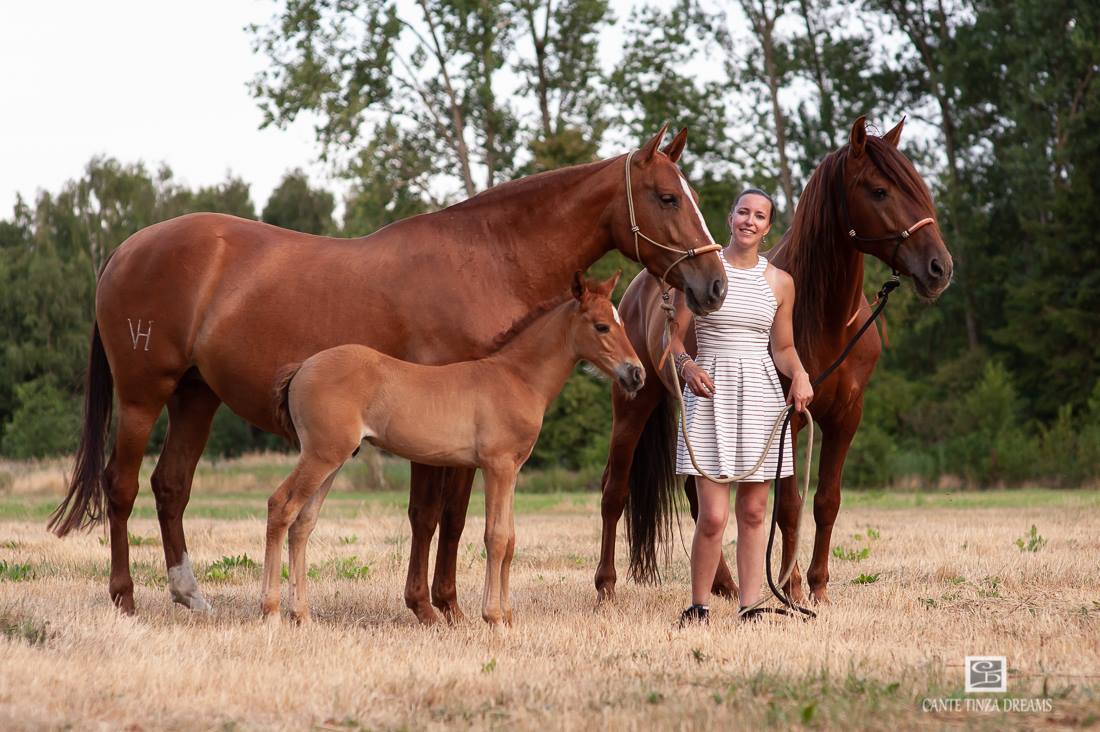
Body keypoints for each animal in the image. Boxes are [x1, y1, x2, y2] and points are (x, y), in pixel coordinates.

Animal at [264, 272, 640, 626]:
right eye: (602, 326)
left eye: (621, 322)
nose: (636, 374)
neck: (515, 378)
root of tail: (302, 367)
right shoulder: (497, 467)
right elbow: (496, 537)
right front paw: (494, 617)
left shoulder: (513, 470)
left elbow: (510, 540)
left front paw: (507, 616)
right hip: (321, 455)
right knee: (281, 506)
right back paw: (271, 612)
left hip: (333, 459)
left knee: (303, 522)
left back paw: (302, 615)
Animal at [593, 116, 954, 605]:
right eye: (879, 190)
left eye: (918, 186)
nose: (940, 268)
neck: (827, 319)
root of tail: (641, 286)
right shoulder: (790, 419)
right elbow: (790, 506)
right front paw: (792, 587)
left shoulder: (846, 416)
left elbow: (826, 501)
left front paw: (819, 588)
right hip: (633, 403)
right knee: (615, 488)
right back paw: (606, 586)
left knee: (695, 491)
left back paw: (724, 584)